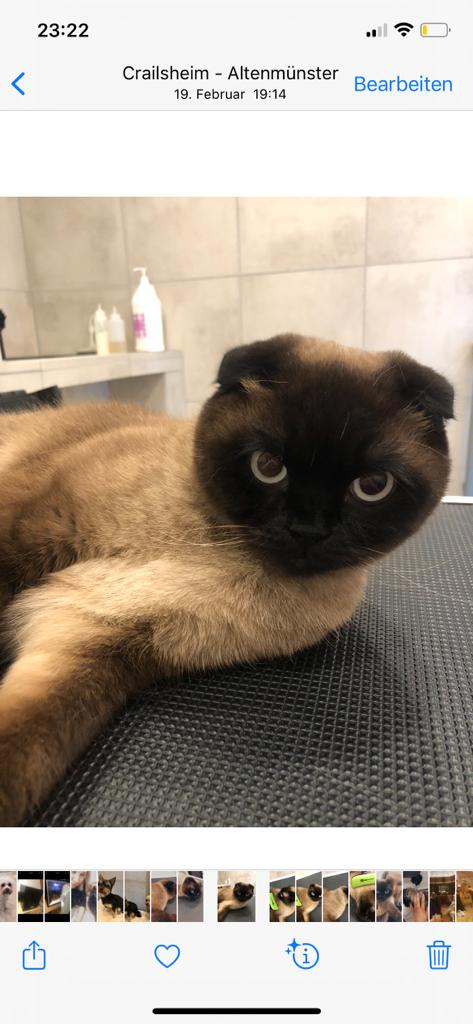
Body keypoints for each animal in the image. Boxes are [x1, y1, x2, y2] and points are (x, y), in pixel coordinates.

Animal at [0, 334, 453, 824]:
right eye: (268, 466)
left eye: (372, 486)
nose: (307, 530)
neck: (220, 554)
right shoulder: (37, 529)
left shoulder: (98, 642)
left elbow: (27, 748)